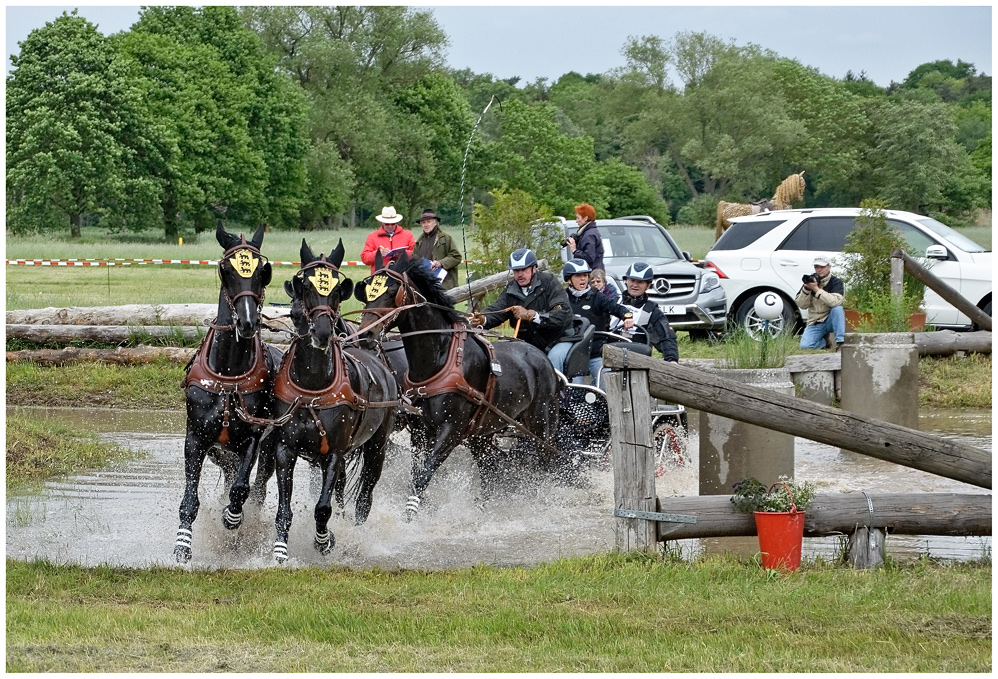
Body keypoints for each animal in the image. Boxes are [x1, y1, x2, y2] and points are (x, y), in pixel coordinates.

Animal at [175, 223, 282, 564]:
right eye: (226, 270)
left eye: (262, 271)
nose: (247, 322)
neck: (229, 374)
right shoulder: (195, 439)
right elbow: (189, 500)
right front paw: (182, 545)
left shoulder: (252, 438)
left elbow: (240, 490)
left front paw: (232, 518)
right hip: (219, 452)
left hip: (270, 448)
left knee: (257, 488)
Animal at [270, 239, 402, 564]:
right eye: (304, 286)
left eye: (336, 290)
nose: (321, 331)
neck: (312, 388)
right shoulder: (285, 448)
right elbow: (284, 509)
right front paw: (280, 551)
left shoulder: (334, 452)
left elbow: (322, 508)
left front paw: (324, 541)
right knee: (342, 490)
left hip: (377, 446)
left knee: (365, 496)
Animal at [356, 254, 568, 520]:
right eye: (367, 291)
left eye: (393, 291)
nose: (365, 335)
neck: (438, 359)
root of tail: (542, 358)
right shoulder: (420, 432)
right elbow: (416, 473)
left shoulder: (451, 431)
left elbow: (423, 475)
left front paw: (411, 515)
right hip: (482, 434)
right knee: (491, 470)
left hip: (541, 426)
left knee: (548, 464)